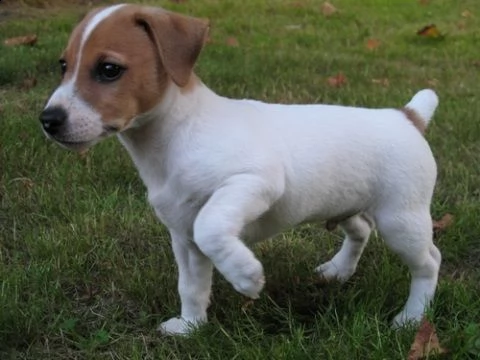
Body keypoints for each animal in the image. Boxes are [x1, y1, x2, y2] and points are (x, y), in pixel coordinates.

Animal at [41, 3, 442, 334]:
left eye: (109, 70)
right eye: (63, 65)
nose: (48, 120)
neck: (176, 135)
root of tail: (406, 116)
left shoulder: (253, 182)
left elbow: (210, 226)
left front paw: (245, 275)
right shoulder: (184, 241)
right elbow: (191, 286)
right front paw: (190, 327)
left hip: (401, 220)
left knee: (428, 262)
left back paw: (411, 318)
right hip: (346, 203)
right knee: (360, 231)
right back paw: (338, 270)